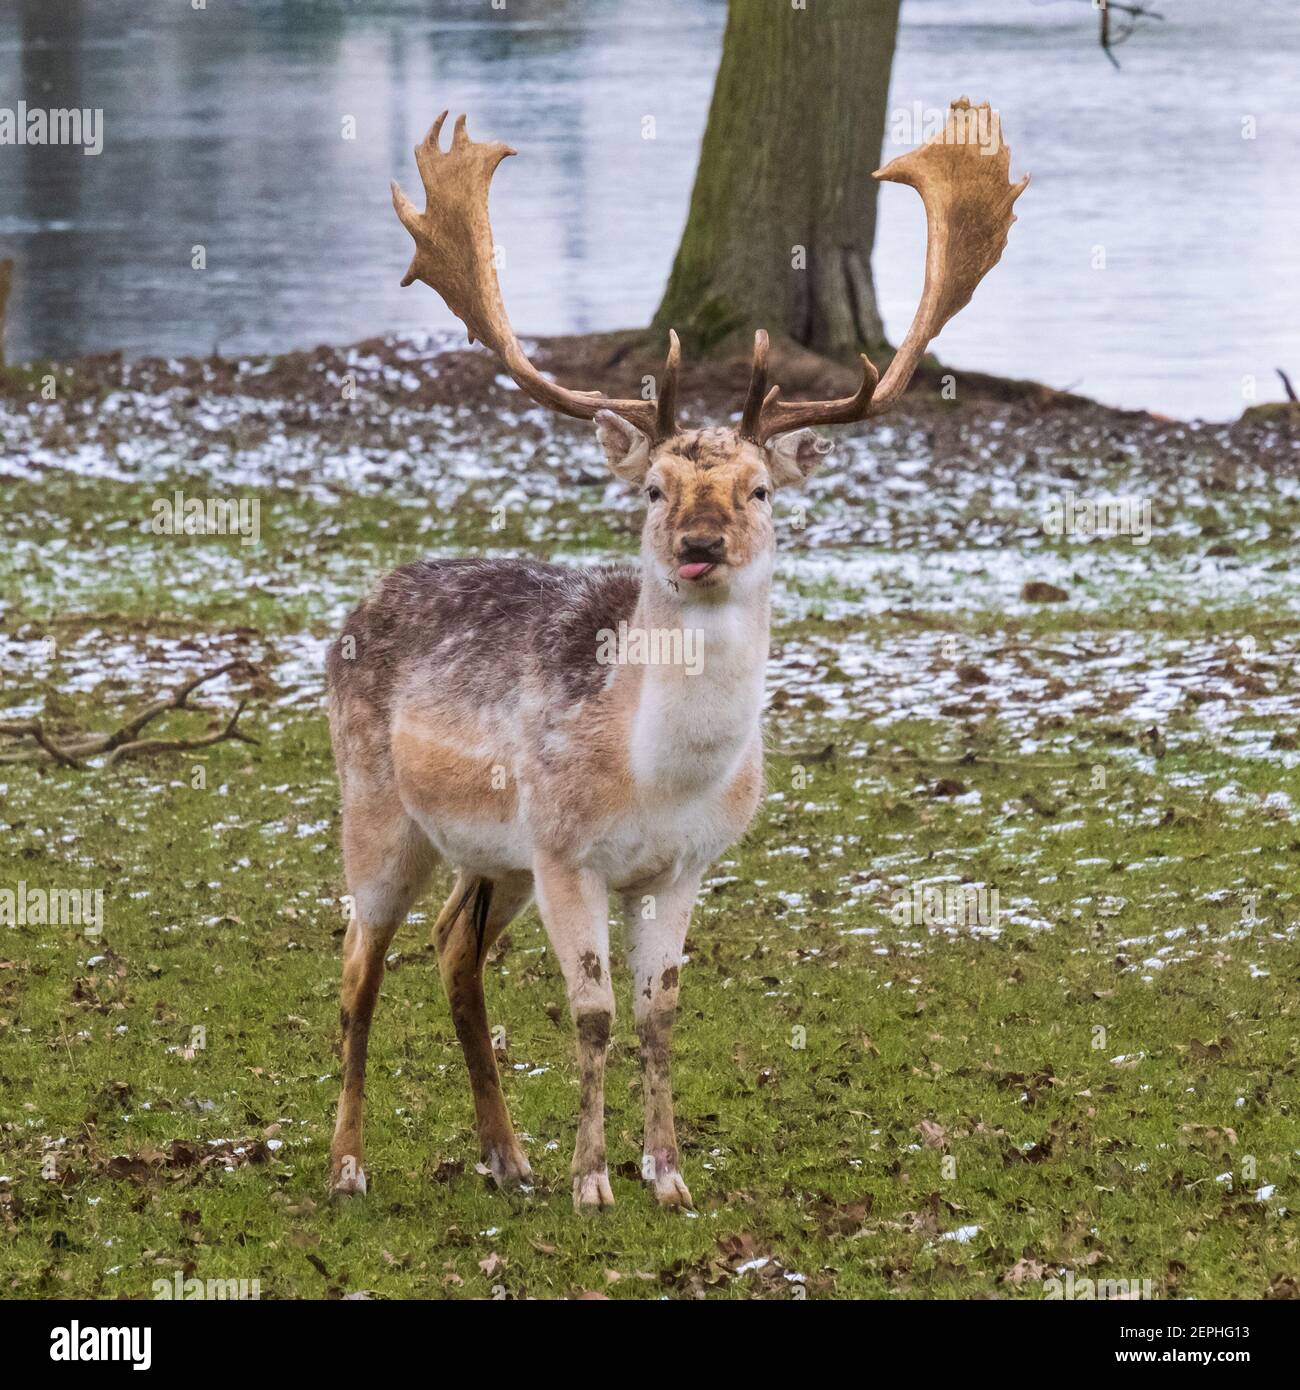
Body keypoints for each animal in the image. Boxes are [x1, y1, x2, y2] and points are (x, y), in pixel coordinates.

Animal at [325, 100, 1028, 1206]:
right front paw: (592, 1182)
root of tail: (355, 608)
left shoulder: (683, 864)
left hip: (492, 854)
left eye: (760, 488)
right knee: (358, 964)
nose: (700, 546)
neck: (657, 774)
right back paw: (350, 1164)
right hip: (378, 808)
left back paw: (505, 1154)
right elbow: (594, 1015)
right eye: (654, 488)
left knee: (449, 949)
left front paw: (665, 1173)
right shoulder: (566, 852)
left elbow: (658, 1014)